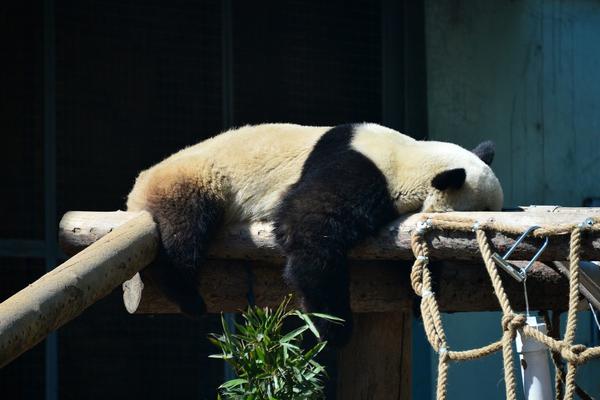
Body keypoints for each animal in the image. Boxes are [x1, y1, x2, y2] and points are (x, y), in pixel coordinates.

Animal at [126, 123, 502, 346]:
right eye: (481, 211)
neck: (412, 158)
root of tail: (138, 187)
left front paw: (421, 292)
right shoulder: (357, 168)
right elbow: (309, 228)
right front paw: (333, 326)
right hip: (197, 179)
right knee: (183, 229)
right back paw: (187, 295)